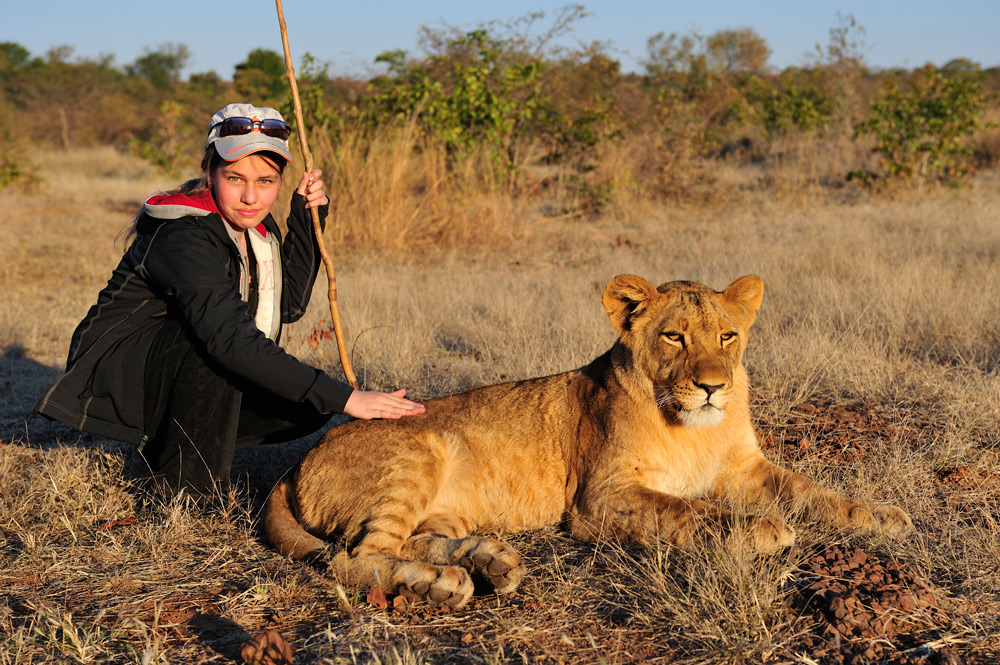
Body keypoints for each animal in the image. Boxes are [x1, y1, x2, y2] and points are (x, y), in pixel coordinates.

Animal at [264, 274, 916, 608]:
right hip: (416, 454)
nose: (713, 387)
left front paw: (884, 518)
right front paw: (762, 529)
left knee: (411, 542)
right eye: (675, 337)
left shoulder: (746, 469)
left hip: (441, 509)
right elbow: (691, 510)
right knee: (355, 557)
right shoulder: (601, 498)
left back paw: (490, 562)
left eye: (728, 336)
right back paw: (443, 583)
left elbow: (813, 492)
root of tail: (295, 466)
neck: (693, 430)